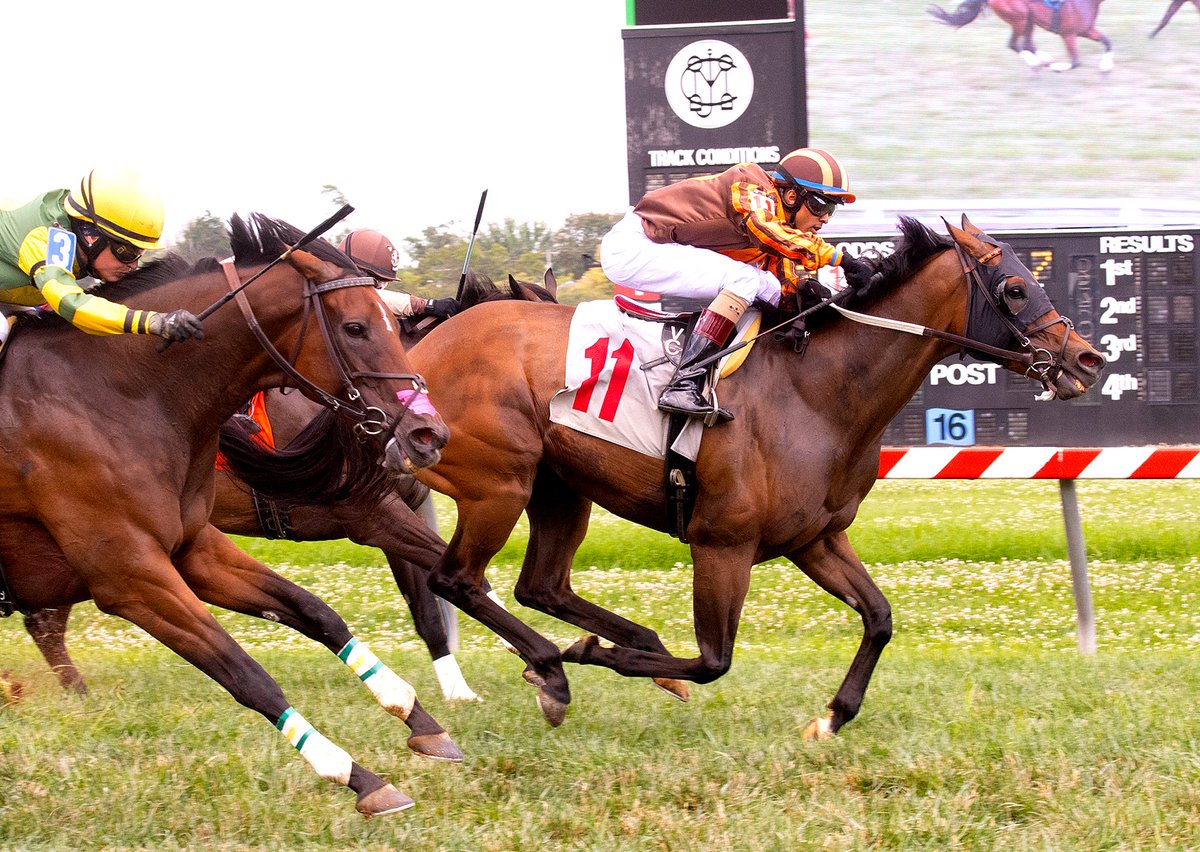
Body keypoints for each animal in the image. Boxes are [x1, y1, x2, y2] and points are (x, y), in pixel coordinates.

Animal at [0, 212, 456, 816]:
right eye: (356, 327)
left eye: (390, 317)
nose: (429, 434)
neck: (115, 397)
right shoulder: (131, 577)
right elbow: (246, 674)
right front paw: (357, 776)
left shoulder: (193, 548)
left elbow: (318, 613)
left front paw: (419, 715)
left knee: (45, 625)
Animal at [21, 270, 559, 705]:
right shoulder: (372, 516)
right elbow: (457, 581)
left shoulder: (396, 510)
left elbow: (431, 604)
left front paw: (465, 685)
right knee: (47, 619)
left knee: (43, 618)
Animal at [405, 217, 1104, 739]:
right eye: (1015, 288)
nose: (1088, 359)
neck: (816, 390)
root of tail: (415, 353)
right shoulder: (723, 545)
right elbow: (715, 660)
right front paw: (596, 654)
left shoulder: (814, 538)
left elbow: (879, 617)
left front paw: (832, 718)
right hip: (499, 483)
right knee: (457, 578)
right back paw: (555, 665)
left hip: (559, 487)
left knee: (540, 585)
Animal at [926, 0, 1113, 72]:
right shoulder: (1069, 35)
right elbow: (1075, 62)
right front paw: (1057, 67)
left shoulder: (1086, 31)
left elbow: (1107, 42)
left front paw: (1106, 66)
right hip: (1021, 18)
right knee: (1015, 44)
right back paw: (1037, 62)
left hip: (1029, 19)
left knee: (1026, 44)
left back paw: (1043, 59)